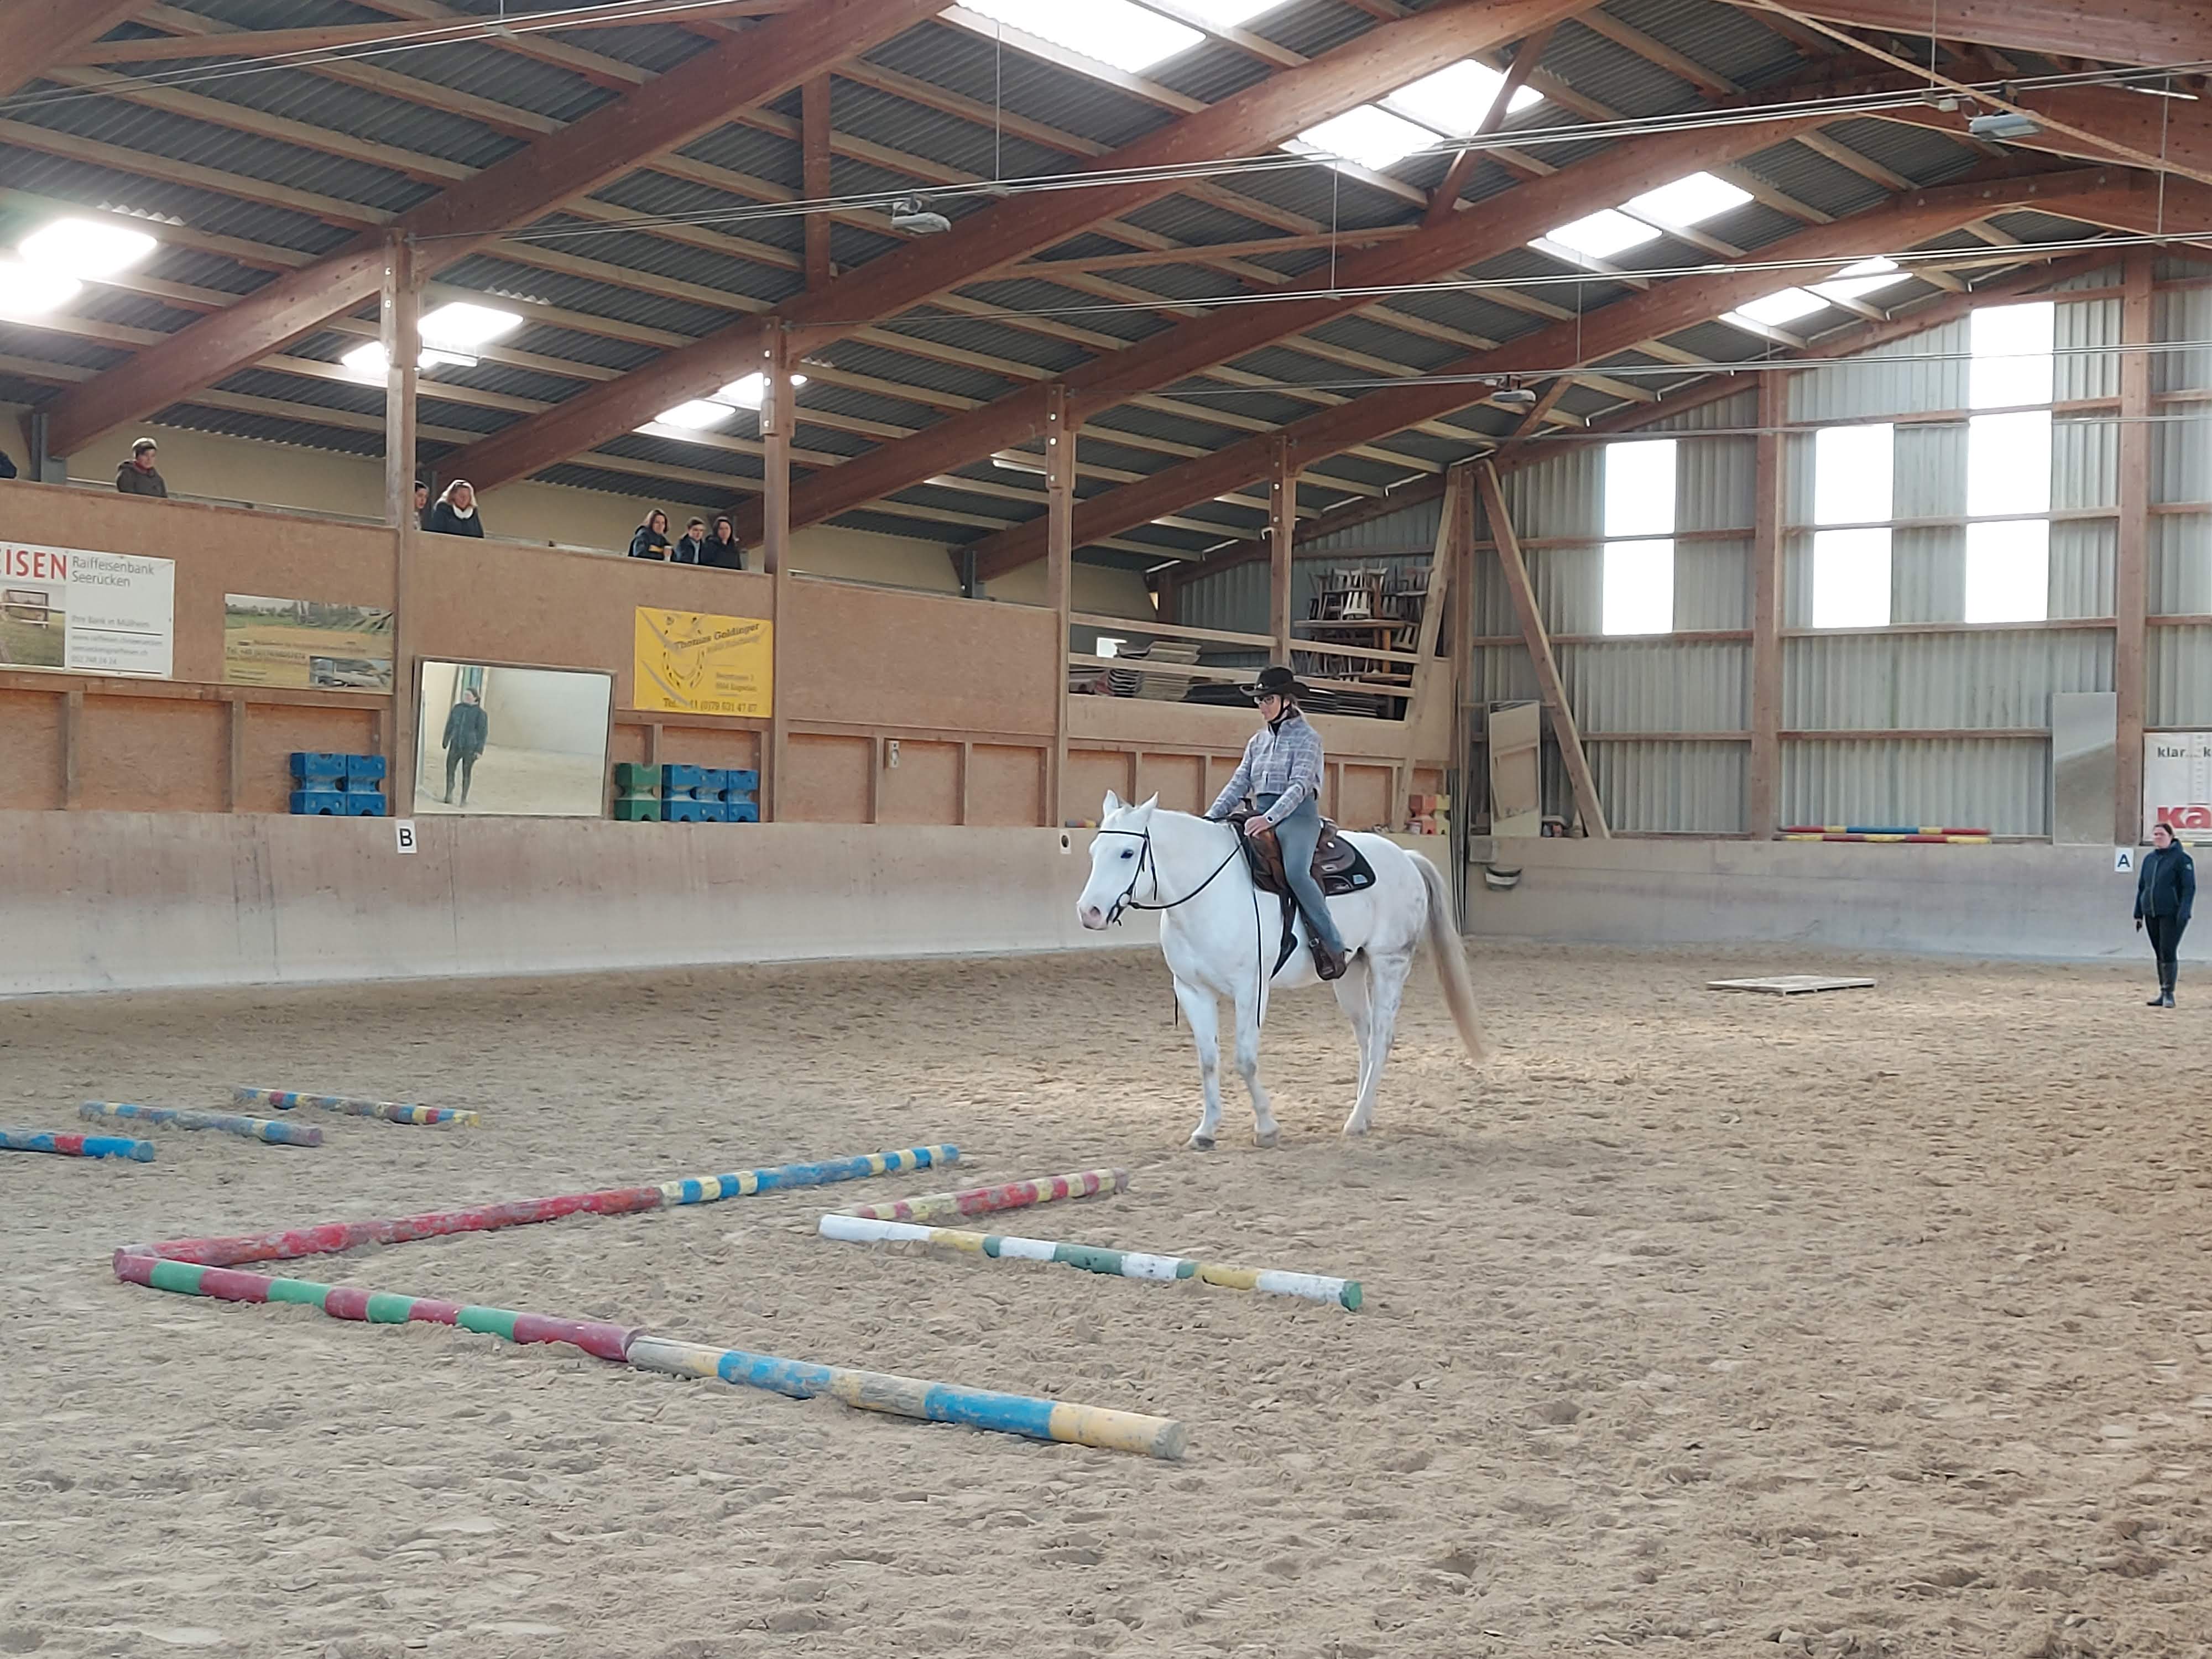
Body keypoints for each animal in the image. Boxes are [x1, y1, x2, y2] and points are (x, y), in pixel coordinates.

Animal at [1076, 791, 1485, 1149]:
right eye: (1093, 852)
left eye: (1128, 853)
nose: (1089, 912)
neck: (1208, 894)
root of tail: (1406, 856)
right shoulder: (1192, 990)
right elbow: (1208, 1061)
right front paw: (1206, 1131)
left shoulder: (1251, 989)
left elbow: (1245, 1060)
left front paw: (1267, 1128)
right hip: (1351, 972)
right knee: (1366, 1039)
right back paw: (1362, 1114)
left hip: (1389, 963)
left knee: (1382, 1038)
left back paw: (1355, 1122)